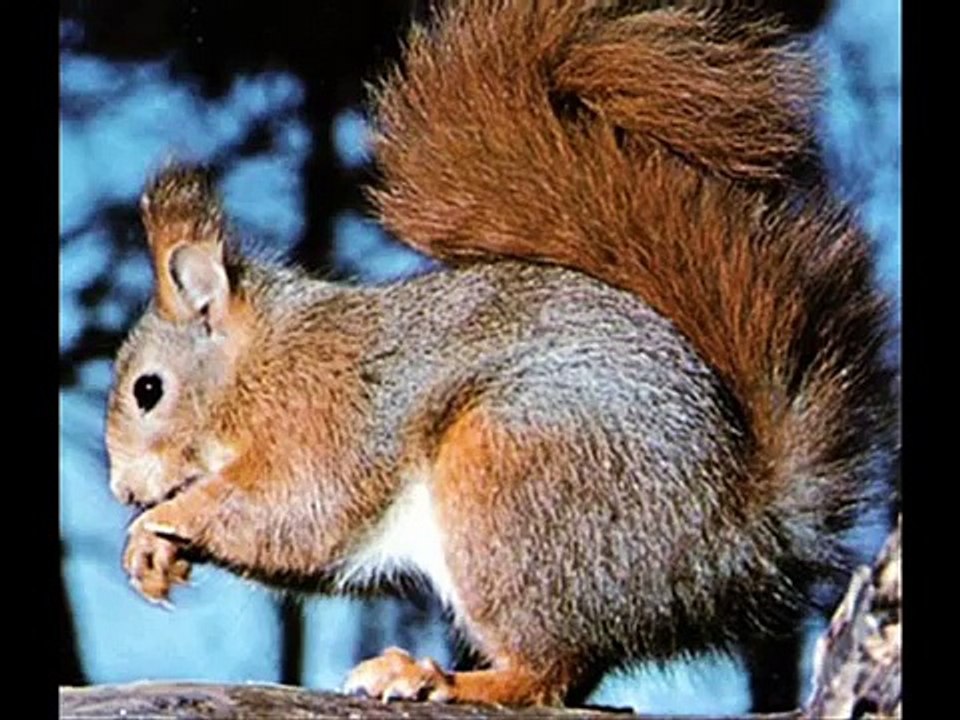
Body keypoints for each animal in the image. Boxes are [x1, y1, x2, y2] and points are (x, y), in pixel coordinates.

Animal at [105, 0, 898, 712]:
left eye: (149, 389)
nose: (121, 490)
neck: (257, 366)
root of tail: (737, 538)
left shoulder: (325, 420)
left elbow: (295, 514)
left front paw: (157, 525)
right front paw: (159, 551)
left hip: (512, 478)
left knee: (544, 675)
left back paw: (439, 679)